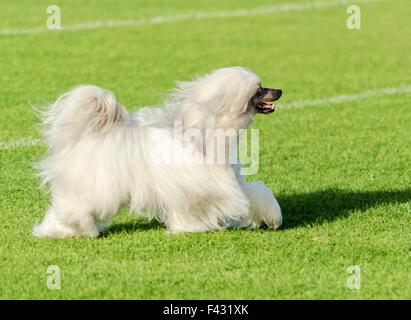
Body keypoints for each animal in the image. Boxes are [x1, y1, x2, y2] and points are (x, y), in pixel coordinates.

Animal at [34, 67, 284, 238]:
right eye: (259, 90)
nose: (280, 90)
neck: (205, 127)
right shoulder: (197, 186)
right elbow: (194, 208)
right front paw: (189, 228)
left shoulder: (228, 181)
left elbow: (255, 192)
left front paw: (270, 216)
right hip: (96, 190)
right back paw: (73, 229)